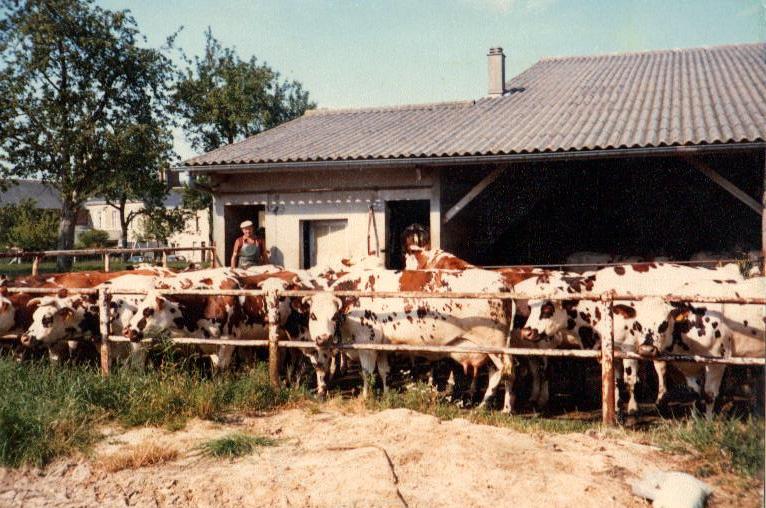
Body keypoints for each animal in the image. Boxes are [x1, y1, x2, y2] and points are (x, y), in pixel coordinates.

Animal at [304, 268, 516, 410]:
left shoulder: (367, 344)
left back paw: (499, 408)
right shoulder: (381, 346)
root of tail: (502, 281)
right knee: (497, 372)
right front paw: (387, 394)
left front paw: (365, 398)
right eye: (313, 316)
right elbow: (384, 371)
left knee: (506, 371)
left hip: (495, 345)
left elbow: (367, 373)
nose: (323, 338)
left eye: (333, 316)